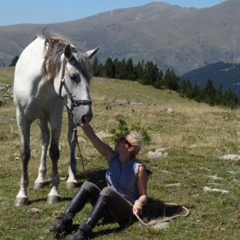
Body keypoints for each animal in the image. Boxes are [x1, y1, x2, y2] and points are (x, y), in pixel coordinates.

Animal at [13, 31, 98, 206]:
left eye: (89, 78)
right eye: (73, 76)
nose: (87, 115)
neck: (36, 84)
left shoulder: (55, 117)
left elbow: (54, 152)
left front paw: (54, 193)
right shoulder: (22, 118)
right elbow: (25, 153)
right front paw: (22, 194)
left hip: (71, 112)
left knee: (71, 140)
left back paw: (71, 179)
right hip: (43, 118)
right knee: (45, 140)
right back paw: (40, 179)